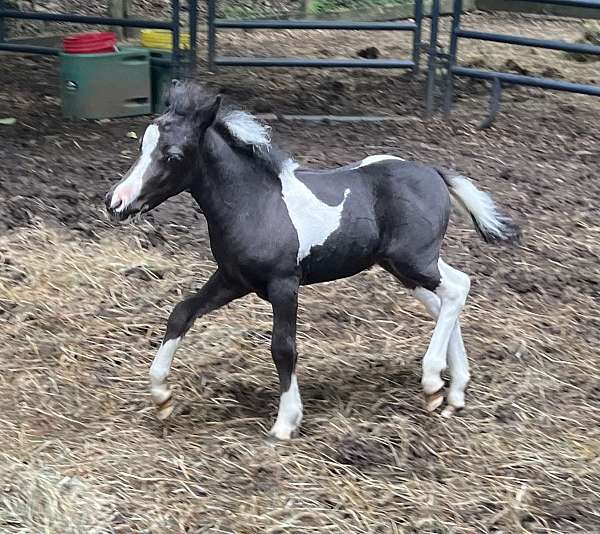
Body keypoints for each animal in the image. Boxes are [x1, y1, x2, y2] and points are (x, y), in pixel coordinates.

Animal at [105, 79, 516, 440]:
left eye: (173, 155)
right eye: (141, 144)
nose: (116, 202)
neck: (255, 202)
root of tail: (433, 172)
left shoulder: (284, 283)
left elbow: (283, 348)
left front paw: (286, 422)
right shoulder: (232, 279)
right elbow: (181, 313)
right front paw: (161, 397)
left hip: (414, 260)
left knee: (457, 288)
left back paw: (433, 382)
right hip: (403, 266)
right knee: (444, 300)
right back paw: (454, 393)